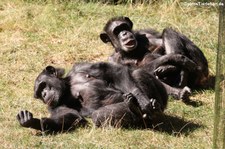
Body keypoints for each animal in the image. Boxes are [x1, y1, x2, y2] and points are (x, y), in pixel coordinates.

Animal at [16, 62, 168, 132]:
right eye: (39, 95)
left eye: (43, 85)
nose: (44, 94)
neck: (68, 87)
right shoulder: (54, 106)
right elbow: (70, 116)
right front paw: (31, 122)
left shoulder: (83, 66)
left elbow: (113, 72)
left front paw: (142, 100)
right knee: (98, 116)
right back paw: (137, 110)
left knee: (136, 73)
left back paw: (151, 108)